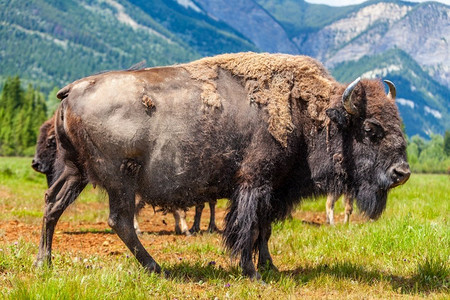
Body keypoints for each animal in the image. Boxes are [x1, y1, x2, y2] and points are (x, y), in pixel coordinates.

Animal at [34, 52, 408, 278]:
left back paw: (44, 262)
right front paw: (253, 273)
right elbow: (248, 227)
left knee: (53, 206)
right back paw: (156, 268)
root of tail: (72, 90)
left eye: (398, 122)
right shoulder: (255, 183)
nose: (402, 173)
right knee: (119, 220)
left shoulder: (273, 189)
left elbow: (264, 230)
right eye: (371, 129)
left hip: (75, 172)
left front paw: (269, 267)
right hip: (120, 179)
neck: (306, 114)